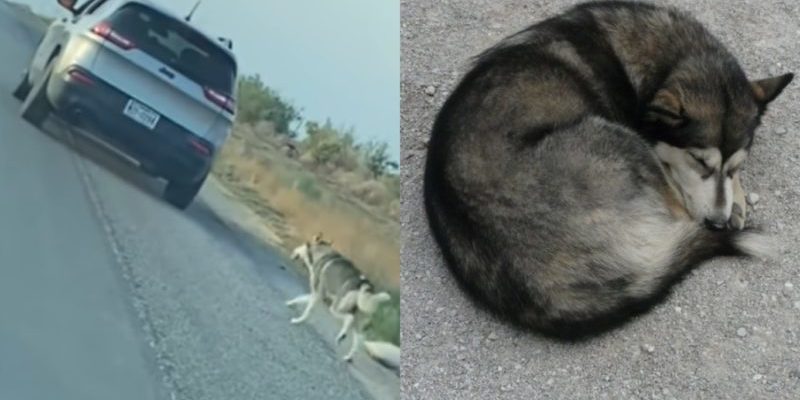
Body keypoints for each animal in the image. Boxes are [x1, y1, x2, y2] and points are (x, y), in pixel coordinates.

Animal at [288, 234, 394, 362]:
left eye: (302, 244)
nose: (293, 252)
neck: (322, 253)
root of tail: (365, 283)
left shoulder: (317, 294)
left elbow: (307, 310)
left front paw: (298, 320)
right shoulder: (317, 295)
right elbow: (301, 298)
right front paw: (290, 303)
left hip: (336, 308)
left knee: (348, 318)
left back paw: (341, 336)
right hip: (357, 320)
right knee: (358, 340)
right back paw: (348, 356)